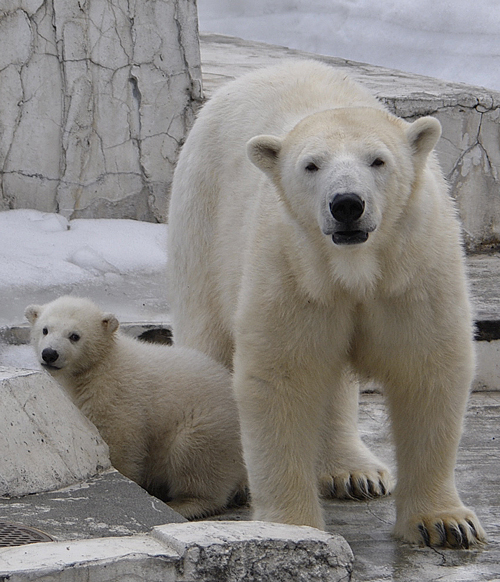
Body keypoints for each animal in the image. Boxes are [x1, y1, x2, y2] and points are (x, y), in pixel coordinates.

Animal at [167, 59, 484, 548]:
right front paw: (289, 527)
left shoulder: (414, 273)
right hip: (202, 222)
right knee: (207, 343)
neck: (355, 267)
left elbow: (427, 369)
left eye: (378, 160)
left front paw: (447, 523)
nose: (347, 204)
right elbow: (282, 376)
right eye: (311, 165)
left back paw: (354, 472)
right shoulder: (292, 270)